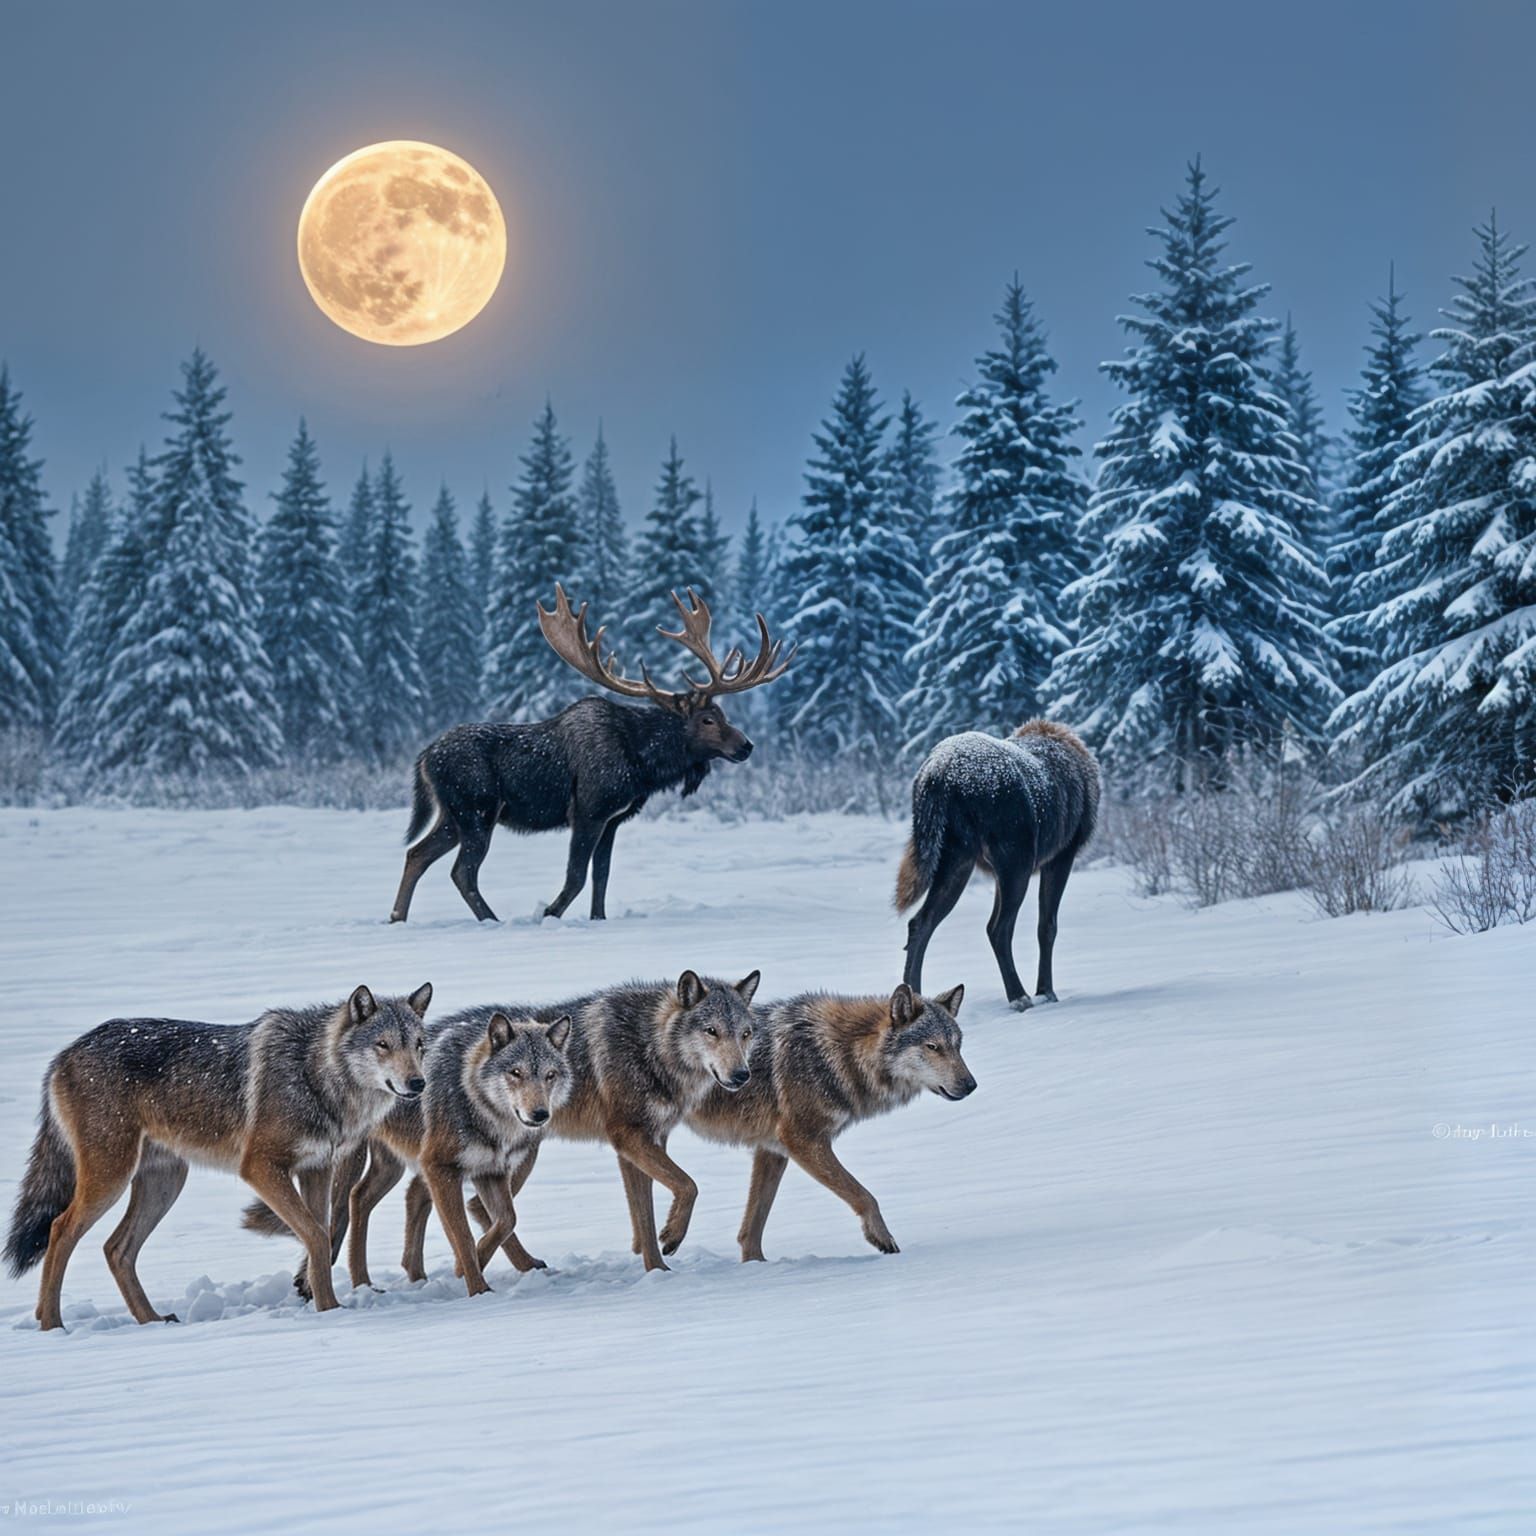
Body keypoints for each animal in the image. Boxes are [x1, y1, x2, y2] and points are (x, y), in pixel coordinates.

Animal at [4, 985, 431, 1330]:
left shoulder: (316, 1170)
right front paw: (329, 1311)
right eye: (383, 1045)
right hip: (112, 1178)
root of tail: (63, 1055)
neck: (312, 1073)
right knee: (59, 1230)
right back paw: (52, 1324)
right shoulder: (259, 1168)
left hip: (165, 1183)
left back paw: (152, 1321)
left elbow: (320, 1238)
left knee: (116, 1249)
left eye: (419, 1045)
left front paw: (328, 1307)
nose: (418, 1083)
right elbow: (314, 1235)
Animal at [390, 585, 793, 924]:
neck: (643, 765)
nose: (746, 745)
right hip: (477, 809)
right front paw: (548, 914)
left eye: (724, 714)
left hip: (452, 814)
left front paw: (598, 919)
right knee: (462, 871)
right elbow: (577, 876)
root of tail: (423, 758)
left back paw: (397, 917)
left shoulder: (613, 820)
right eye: (708, 719)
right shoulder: (588, 810)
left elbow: (602, 876)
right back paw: (491, 920)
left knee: (416, 854)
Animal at [686, 983, 975, 1261]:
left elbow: (752, 1229)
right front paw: (882, 1238)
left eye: (957, 1046)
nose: (971, 1085)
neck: (840, 1054)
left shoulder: (773, 1149)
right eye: (933, 1047)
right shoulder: (802, 1141)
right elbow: (864, 1195)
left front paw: (756, 1266)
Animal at [896, 718, 1100, 1009]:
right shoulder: (1063, 853)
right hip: (1014, 858)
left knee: (920, 922)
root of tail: (938, 775)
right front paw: (1046, 991)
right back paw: (1019, 996)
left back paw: (913, 997)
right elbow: (1047, 926)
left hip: (957, 855)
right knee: (998, 927)